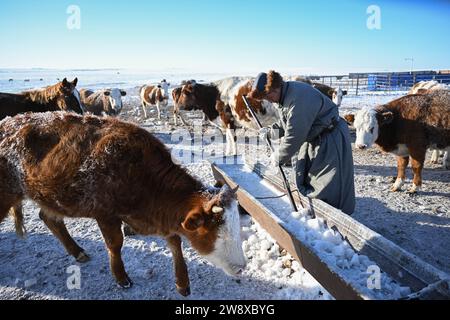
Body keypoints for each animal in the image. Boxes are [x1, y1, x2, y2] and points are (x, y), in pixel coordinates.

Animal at [0, 111, 246, 296]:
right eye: (219, 234)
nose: (242, 268)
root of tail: (8, 121)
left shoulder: (157, 217)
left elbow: (175, 242)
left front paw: (182, 282)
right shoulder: (106, 214)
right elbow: (115, 244)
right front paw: (121, 277)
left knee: (49, 218)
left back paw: (77, 251)